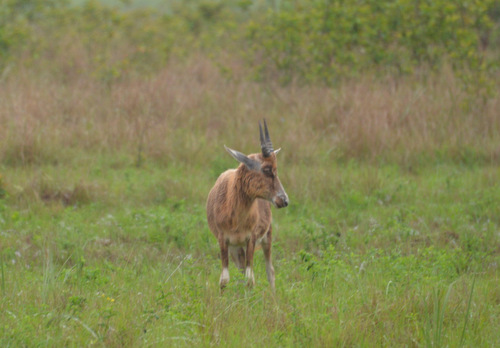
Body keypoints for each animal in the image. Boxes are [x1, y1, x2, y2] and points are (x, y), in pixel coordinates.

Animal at [205, 121, 290, 290]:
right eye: (266, 169)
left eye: (276, 169)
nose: (284, 200)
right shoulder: (223, 240)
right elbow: (224, 280)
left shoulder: (251, 239)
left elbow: (250, 280)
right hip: (236, 248)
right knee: (241, 270)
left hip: (265, 239)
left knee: (270, 271)